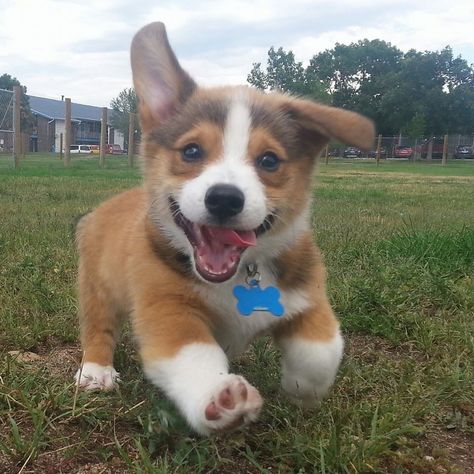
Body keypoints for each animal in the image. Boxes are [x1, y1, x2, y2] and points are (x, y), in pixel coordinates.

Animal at [75, 23, 374, 436]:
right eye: (191, 151)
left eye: (269, 160)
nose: (224, 199)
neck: (240, 274)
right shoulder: (168, 311)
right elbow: (194, 355)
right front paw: (217, 397)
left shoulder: (309, 296)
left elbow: (321, 350)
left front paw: (301, 390)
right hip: (98, 287)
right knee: (98, 327)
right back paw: (96, 372)